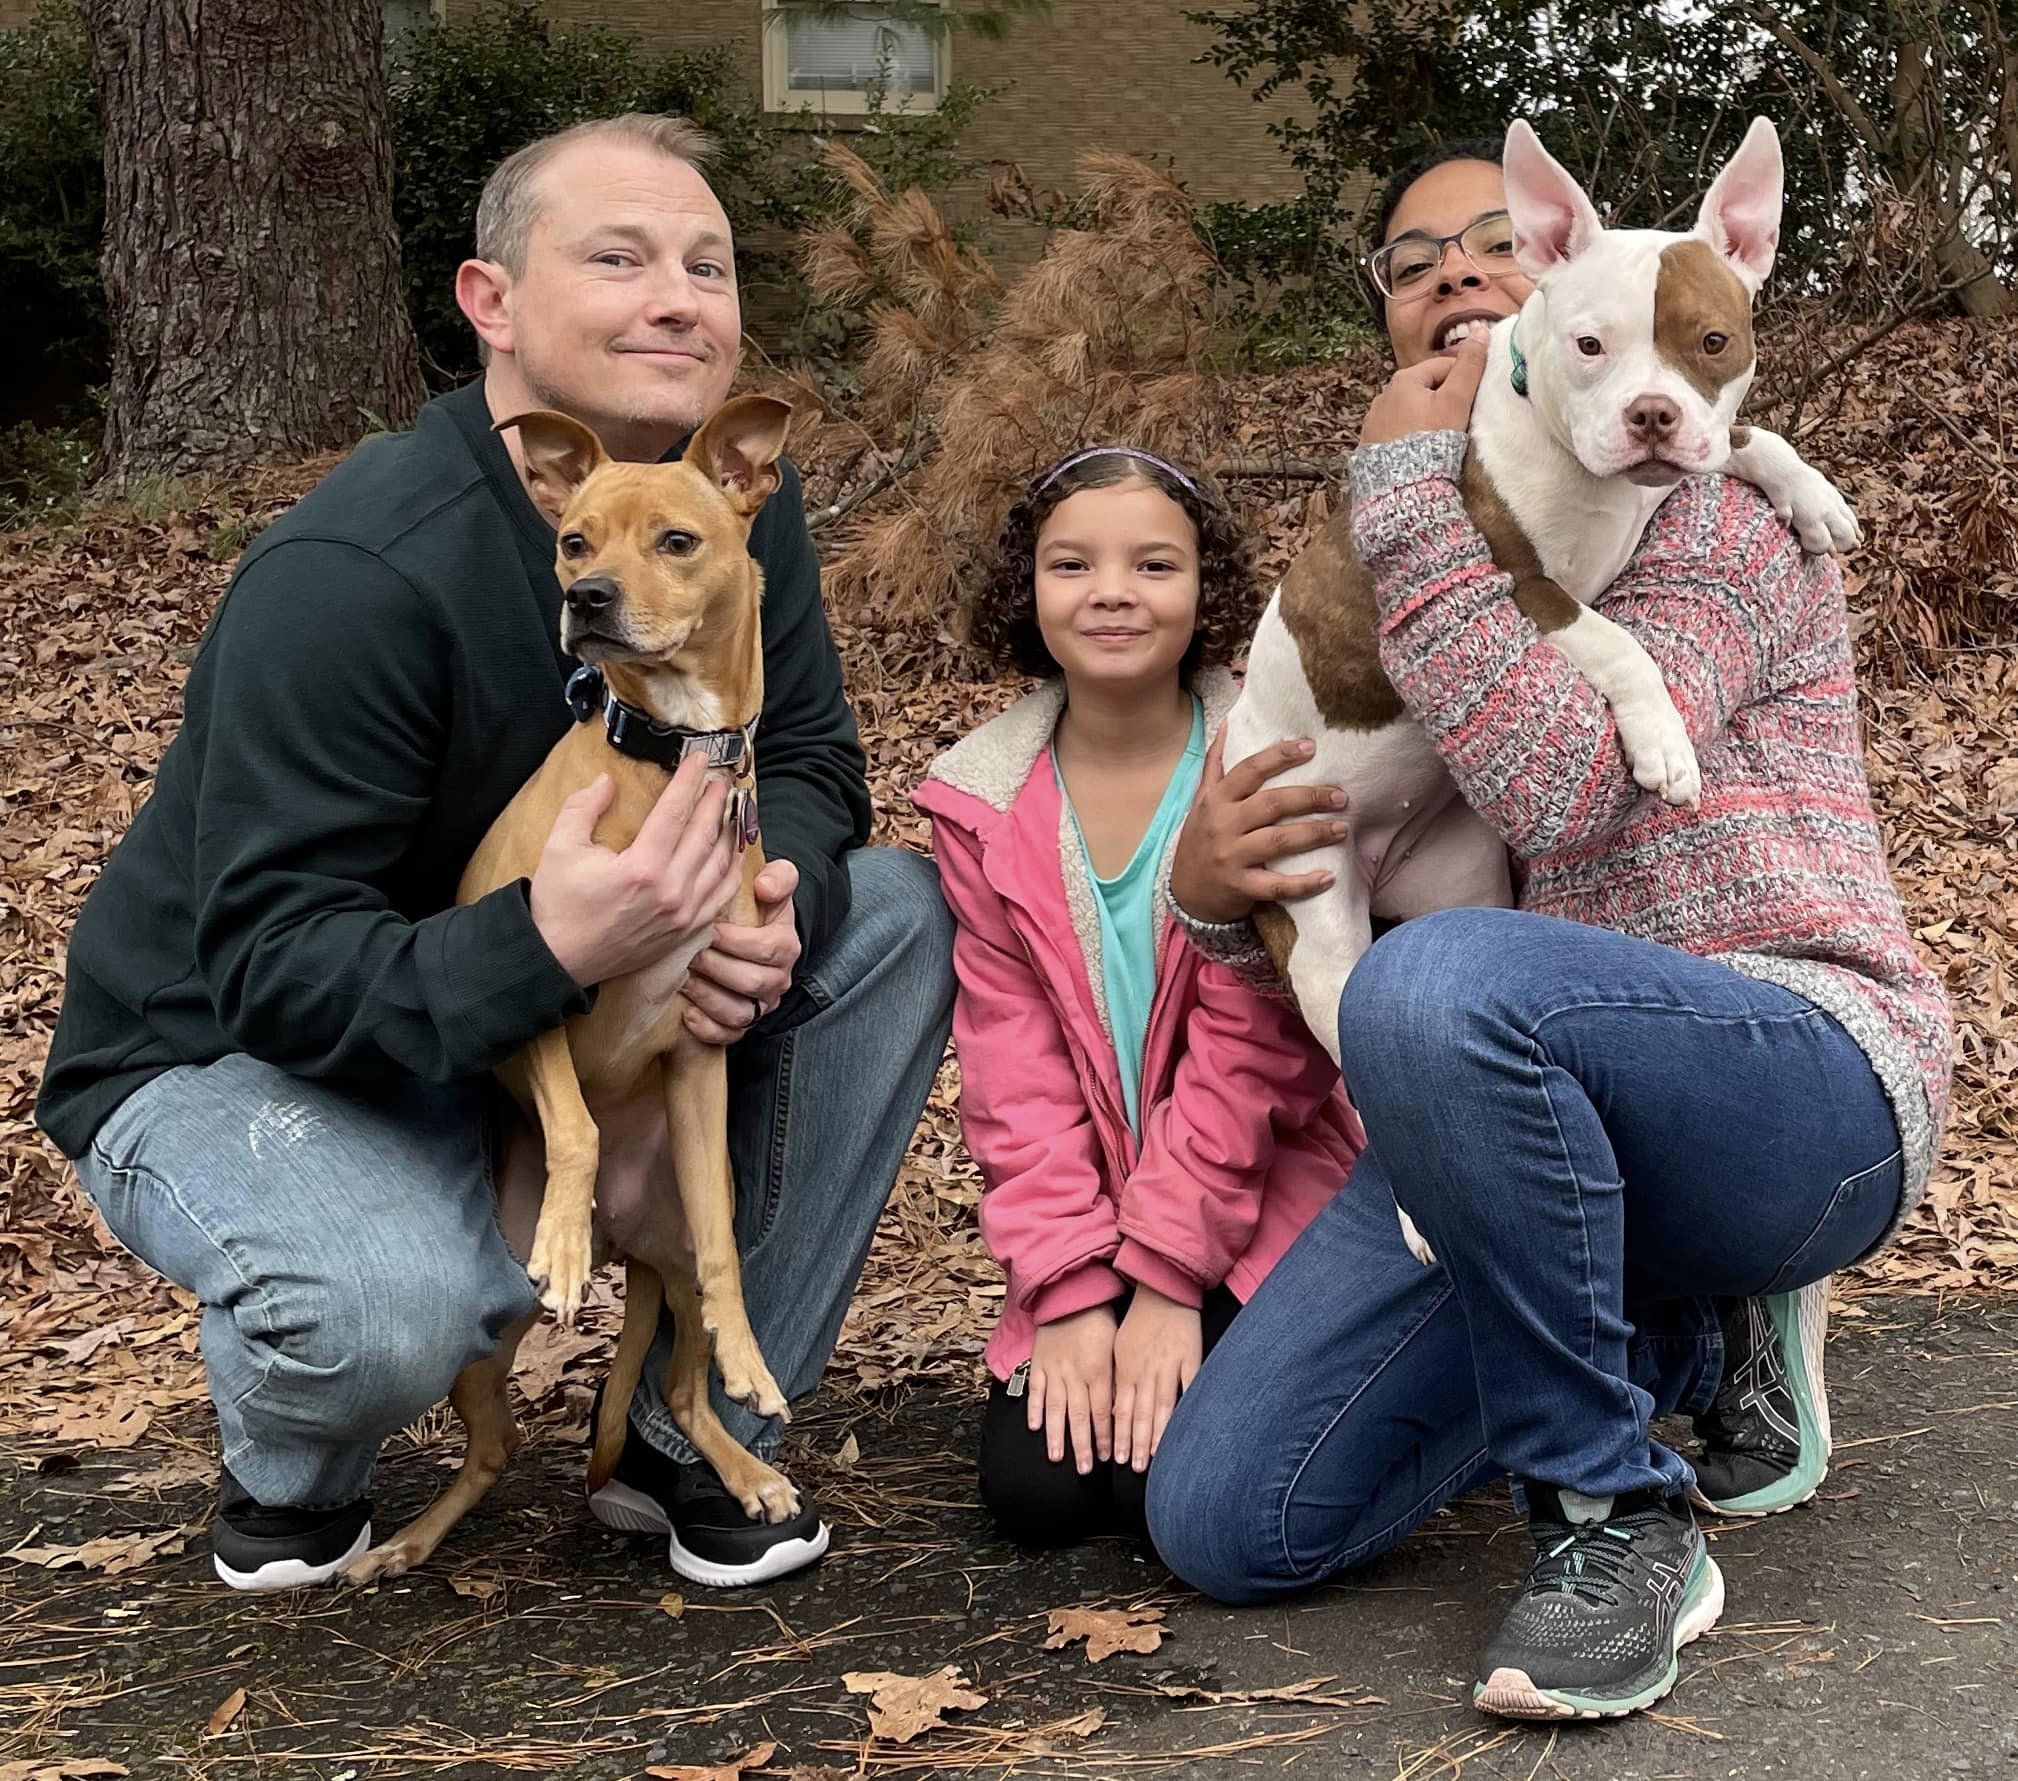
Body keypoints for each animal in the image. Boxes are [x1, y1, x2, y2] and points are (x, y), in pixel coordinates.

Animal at [347, 393, 811, 1589]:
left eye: (676, 541)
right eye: (572, 540)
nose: (586, 597)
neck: (670, 756)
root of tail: (624, 1247)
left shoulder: (701, 1045)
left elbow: (726, 1247)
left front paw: (754, 1359)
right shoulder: (540, 981)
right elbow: (574, 1123)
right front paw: (556, 1231)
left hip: (669, 1278)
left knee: (682, 1387)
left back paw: (744, 1469)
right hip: (479, 1339)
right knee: (493, 1445)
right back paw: (407, 1539)